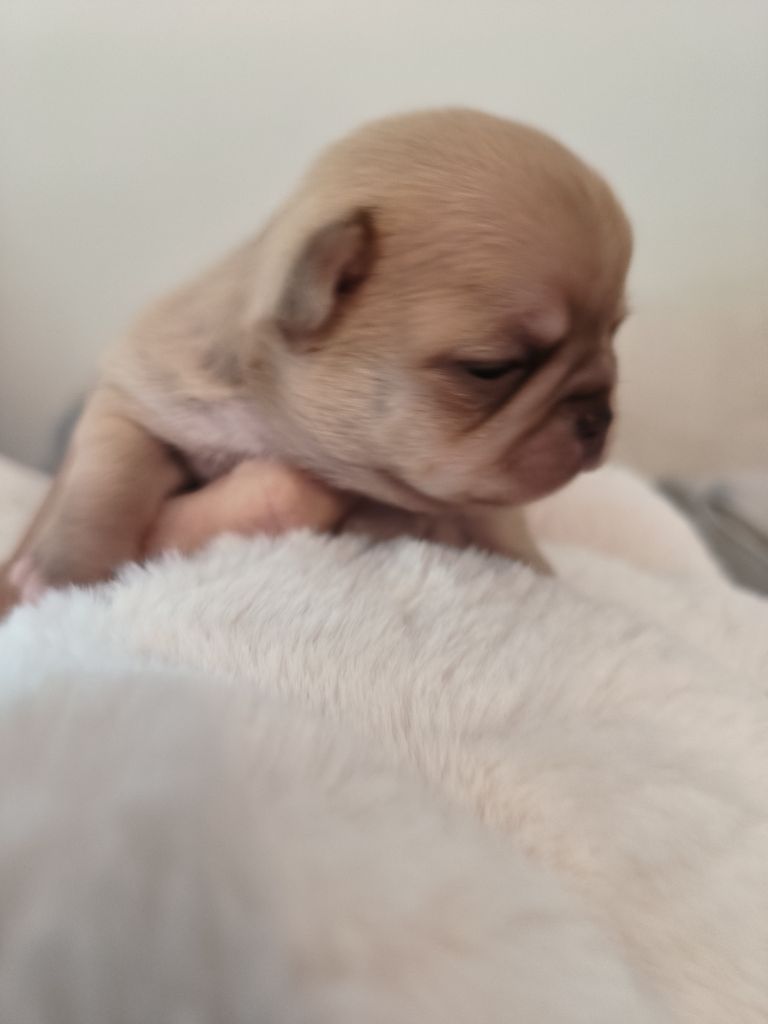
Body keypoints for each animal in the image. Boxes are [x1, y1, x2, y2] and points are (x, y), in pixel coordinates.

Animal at [0, 108, 631, 611]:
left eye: (615, 333)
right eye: (492, 368)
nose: (599, 417)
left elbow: (500, 519)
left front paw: (540, 575)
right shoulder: (134, 397)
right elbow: (111, 473)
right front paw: (69, 569)